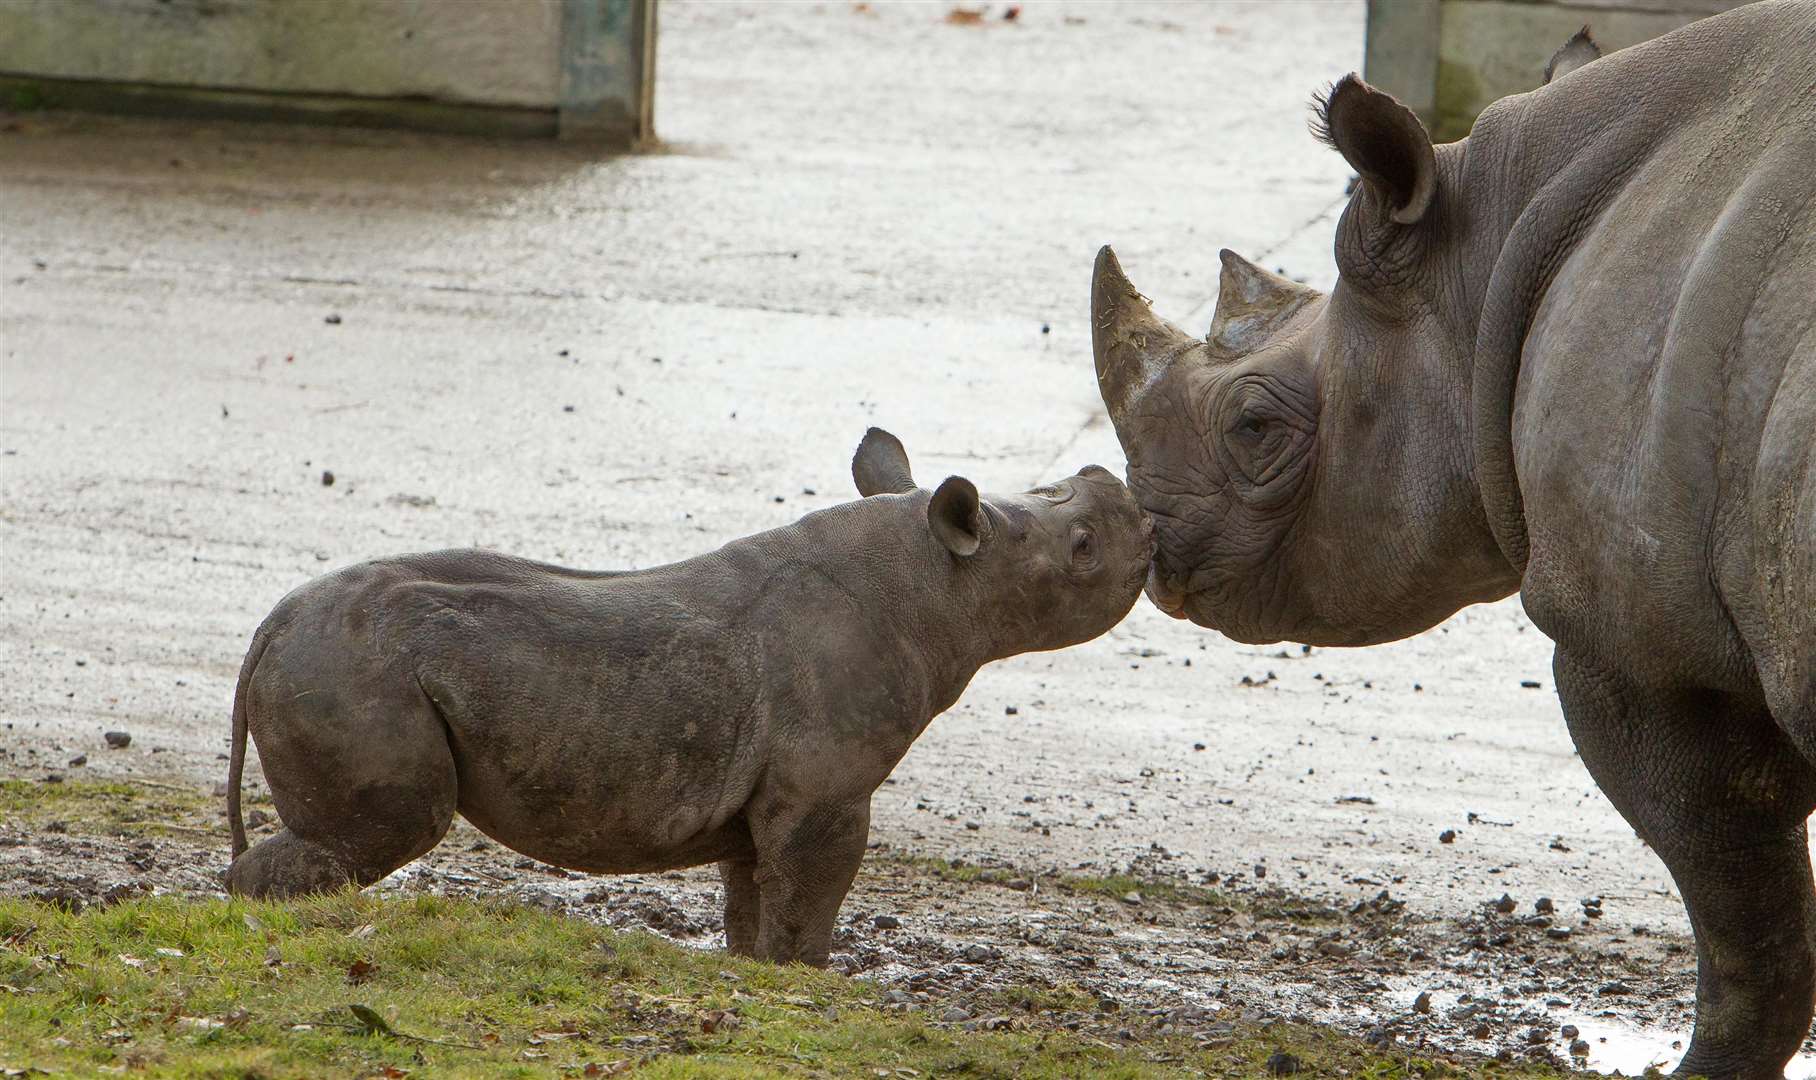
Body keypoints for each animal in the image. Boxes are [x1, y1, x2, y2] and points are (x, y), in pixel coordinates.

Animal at [219, 426, 1140, 965]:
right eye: (1084, 547)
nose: (1130, 503)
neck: (938, 580)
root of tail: (270, 626)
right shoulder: (825, 793)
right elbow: (814, 891)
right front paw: (806, 979)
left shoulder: (766, 792)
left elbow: (756, 894)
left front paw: (753, 969)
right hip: (351, 668)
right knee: (394, 824)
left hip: (336, 658)